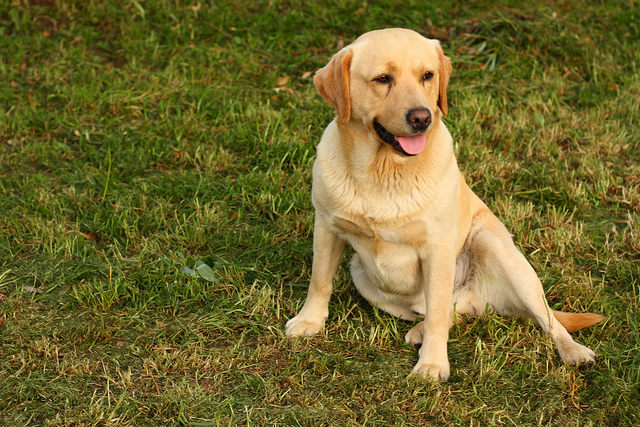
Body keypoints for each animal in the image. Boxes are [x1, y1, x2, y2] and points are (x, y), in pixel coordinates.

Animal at [284, 27, 604, 382]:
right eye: (383, 78)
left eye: (428, 75)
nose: (421, 117)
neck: (383, 171)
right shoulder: (326, 226)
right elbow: (319, 280)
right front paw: (309, 321)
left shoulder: (437, 249)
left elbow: (437, 312)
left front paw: (433, 364)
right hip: (361, 272)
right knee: (454, 311)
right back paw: (421, 329)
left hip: (498, 250)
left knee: (547, 319)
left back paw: (574, 351)